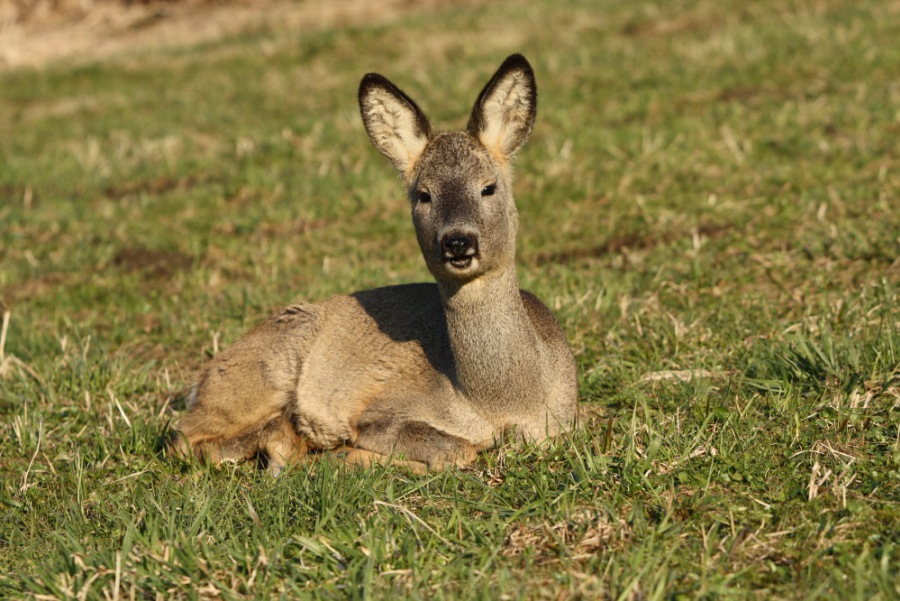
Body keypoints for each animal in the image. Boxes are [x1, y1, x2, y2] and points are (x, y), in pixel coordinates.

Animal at [168, 54, 578, 474]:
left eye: (488, 187)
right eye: (423, 195)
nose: (458, 242)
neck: (500, 403)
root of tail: (201, 379)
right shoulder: (381, 409)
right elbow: (455, 450)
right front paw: (348, 453)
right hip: (262, 374)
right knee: (181, 437)